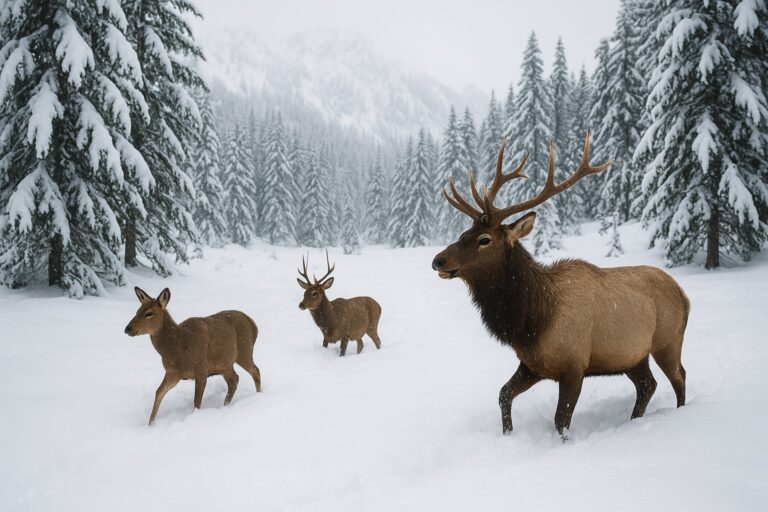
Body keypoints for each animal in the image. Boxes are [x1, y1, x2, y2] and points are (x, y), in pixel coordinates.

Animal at [124, 287, 262, 425]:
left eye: (149, 313)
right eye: (137, 311)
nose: (127, 328)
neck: (177, 348)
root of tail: (253, 324)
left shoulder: (201, 369)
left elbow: (196, 402)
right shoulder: (173, 373)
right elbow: (159, 392)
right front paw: (150, 424)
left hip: (244, 351)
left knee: (255, 370)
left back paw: (258, 396)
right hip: (225, 363)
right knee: (234, 380)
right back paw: (226, 405)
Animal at [431, 132, 690, 439]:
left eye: (484, 239)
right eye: (463, 233)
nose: (438, 260)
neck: (531, 322)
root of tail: (684, 294)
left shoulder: (573, 366)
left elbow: (561, 421)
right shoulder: (533, 364)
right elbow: (504, 394)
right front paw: (508, 435)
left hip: (667, 340)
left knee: (679, 376)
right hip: (632, 356)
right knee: (647, 384)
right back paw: (633, 421)